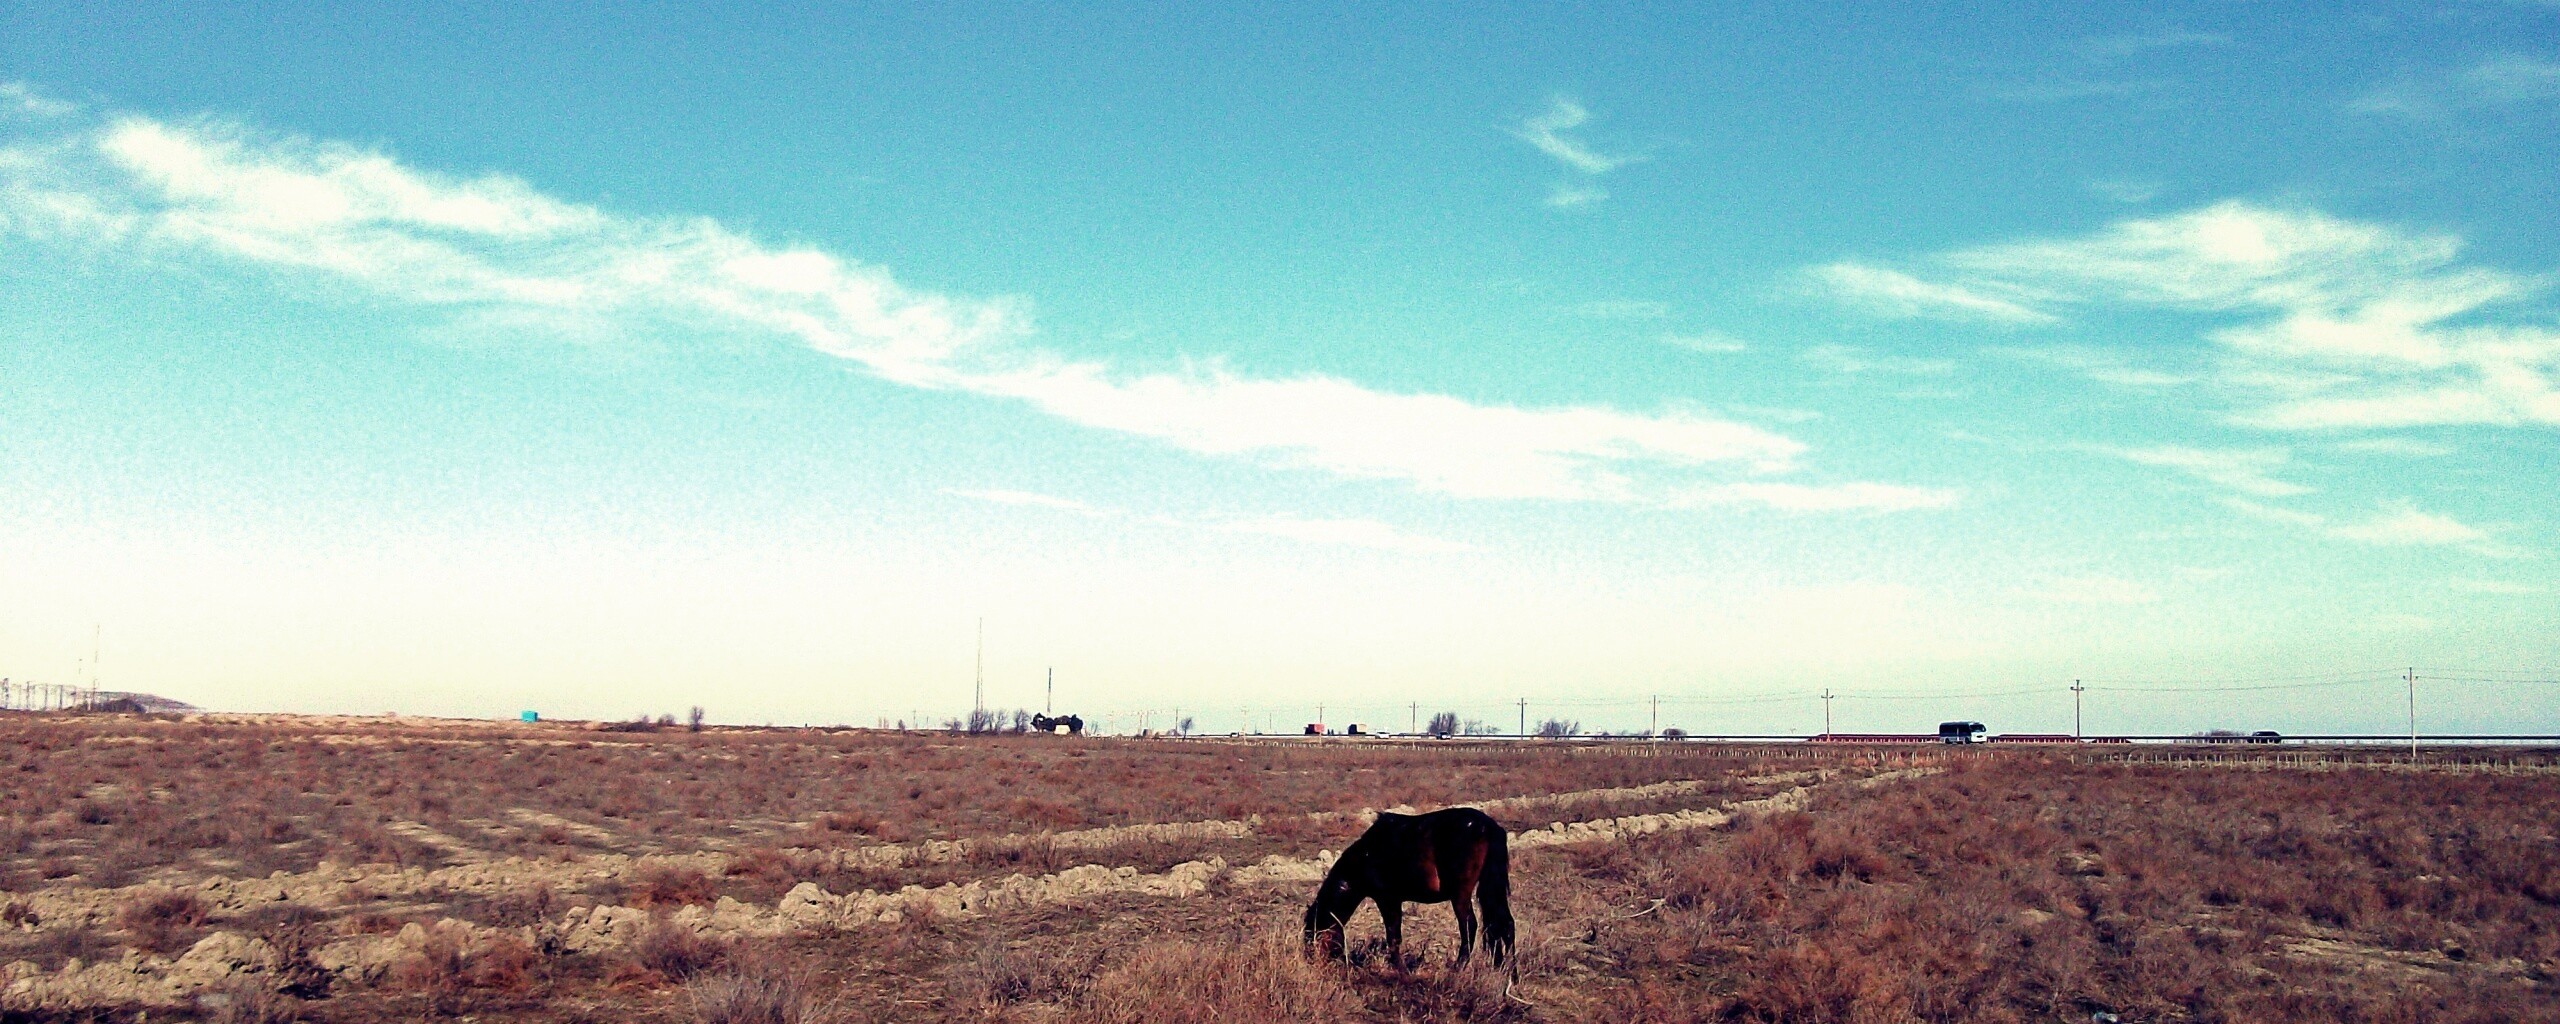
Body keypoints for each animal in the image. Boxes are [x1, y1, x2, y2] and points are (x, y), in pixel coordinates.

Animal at [1310, 808, 1505, 967]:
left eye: (1315, 935)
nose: (1316, 963)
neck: (1366, 857)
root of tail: (1487, 826)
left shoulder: (1388, 900)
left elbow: (1393, 937)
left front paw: (1398, 968)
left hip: (1460, 895)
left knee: (1469, 925)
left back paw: (1458, 967)